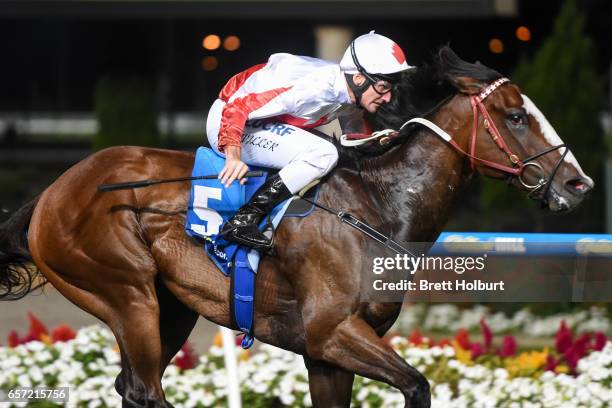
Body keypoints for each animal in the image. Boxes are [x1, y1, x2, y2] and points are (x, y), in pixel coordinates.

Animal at [0, 48, 592, 408]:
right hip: (126, 295)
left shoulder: (327, 353)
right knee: (145, 389)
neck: (377, 205)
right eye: (516, 116)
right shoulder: (332, 332)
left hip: (170, 307)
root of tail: (53, 192)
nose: (580, 183)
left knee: (133, 386)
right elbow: (418, 384)